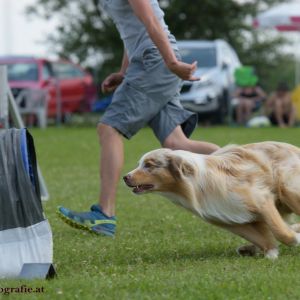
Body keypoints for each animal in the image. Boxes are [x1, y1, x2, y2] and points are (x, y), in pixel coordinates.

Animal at [123, 142, 300, 258]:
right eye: (140, 164)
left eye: (149, 165)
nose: (125, 177)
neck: (196, 184)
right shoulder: (230, 220)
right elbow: (262, 238)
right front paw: (271, 251)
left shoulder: (260, 199)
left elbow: (279, 231)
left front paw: (294, 239)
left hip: (287, 189)